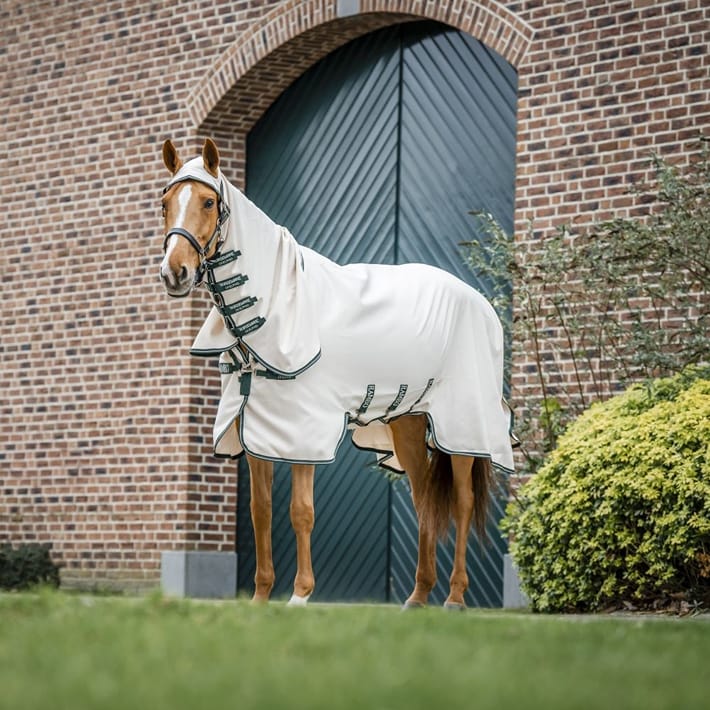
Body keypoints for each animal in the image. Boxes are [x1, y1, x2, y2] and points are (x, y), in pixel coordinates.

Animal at [158, 138, 514, 609]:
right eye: (165, 204)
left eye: (208, 201)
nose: (174, 273)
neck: (274, 310)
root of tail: (479, 301)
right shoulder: (256, 429)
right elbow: (260, 512)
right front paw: (260, 599)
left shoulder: (302, 429)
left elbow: (301, 511)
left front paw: (300, 595)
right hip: (407, 422)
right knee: (422, 498)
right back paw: (418, 596)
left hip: (463, 426)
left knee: (462, 500)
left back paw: (455, 597)